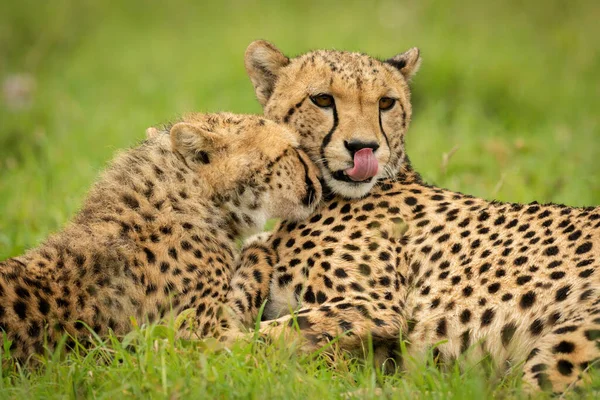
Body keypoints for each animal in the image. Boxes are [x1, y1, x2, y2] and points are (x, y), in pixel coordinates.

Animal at [0, 111, 324, 360]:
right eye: (293, 151)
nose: (322, 178)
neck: (182, 199)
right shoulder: (198, 334)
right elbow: (249, 276)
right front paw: (260, 243)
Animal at [229, 42, 596, 392]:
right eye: (322, 99)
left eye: (386, 103)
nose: (363, 147)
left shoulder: (374, 308)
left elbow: (252, 338)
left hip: (566, 345)